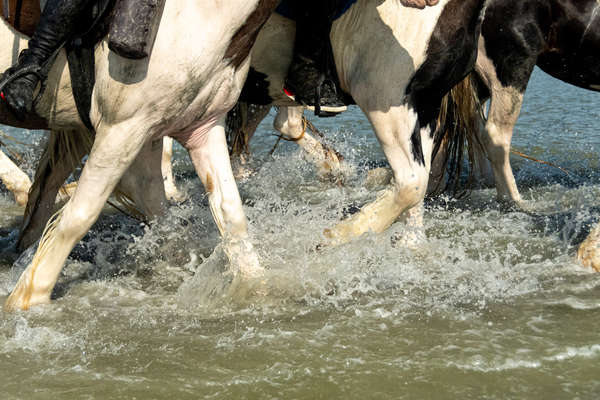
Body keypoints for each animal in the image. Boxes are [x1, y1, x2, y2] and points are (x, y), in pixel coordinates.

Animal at [2, 0, 280, 310]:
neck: (205, 11)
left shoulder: (199, 129)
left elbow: (229, 215)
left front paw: (257, 289)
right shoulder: (122, 128)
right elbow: (79, 216)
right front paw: (27, 300)